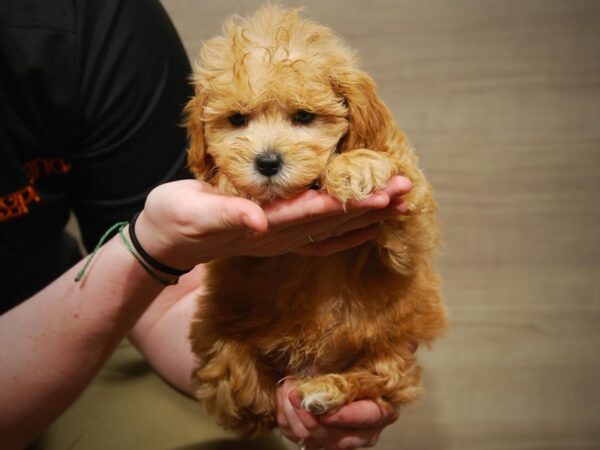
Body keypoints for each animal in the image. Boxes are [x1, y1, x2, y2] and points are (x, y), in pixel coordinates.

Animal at [186, 5, 446, 438]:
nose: (267, 162)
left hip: (390, 343)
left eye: (304, 116)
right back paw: (260, 396)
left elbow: (400, 203)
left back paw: (327, 389)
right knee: (232, 382)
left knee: (384, 377)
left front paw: (356, 167)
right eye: (237, 120)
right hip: (217, 330)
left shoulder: (410, 231)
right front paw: (230, 182)